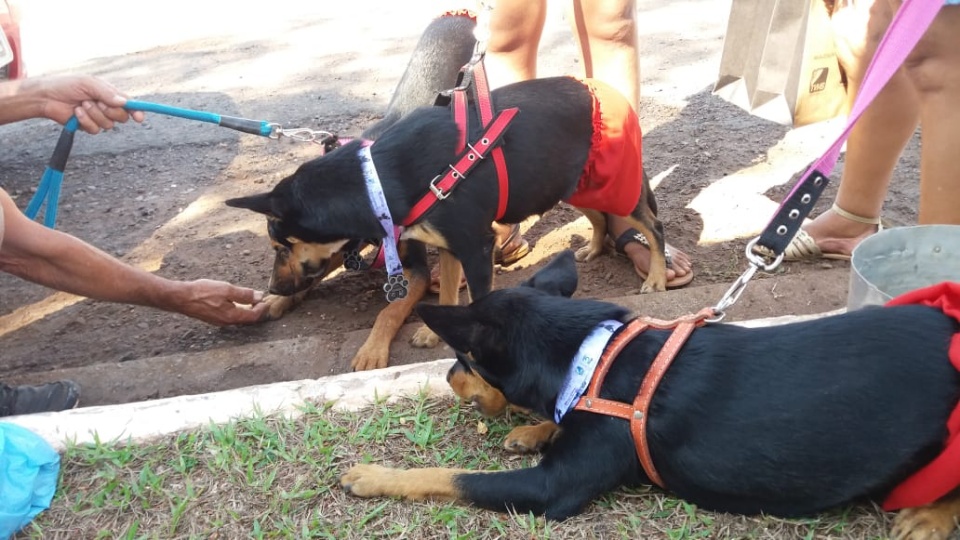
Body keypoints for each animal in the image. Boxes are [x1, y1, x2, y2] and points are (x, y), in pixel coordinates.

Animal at [340, 252, 960, 540]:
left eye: (467, 360)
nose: (448, 377)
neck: (593, 356)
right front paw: (533, 429)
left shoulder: (553, 489)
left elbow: (451, 478)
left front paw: (374, 475)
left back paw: (929, 516)